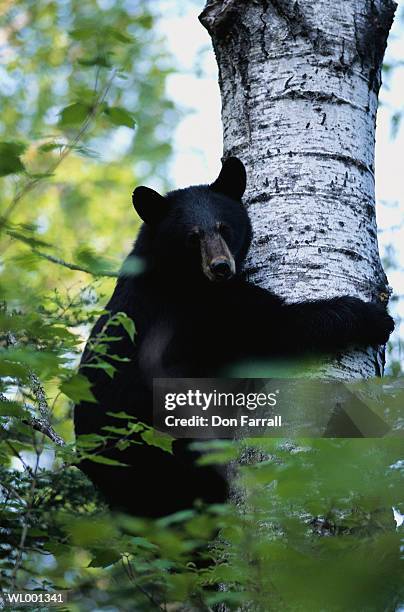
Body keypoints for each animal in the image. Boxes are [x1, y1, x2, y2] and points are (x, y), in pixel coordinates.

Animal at [75, 158, 394, 516]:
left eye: (224, 227)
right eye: (192, 236)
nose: (220, 267)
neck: (181, 274)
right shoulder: (202, 311)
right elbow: (274, 329)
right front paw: (373, 317)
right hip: (155, 445)